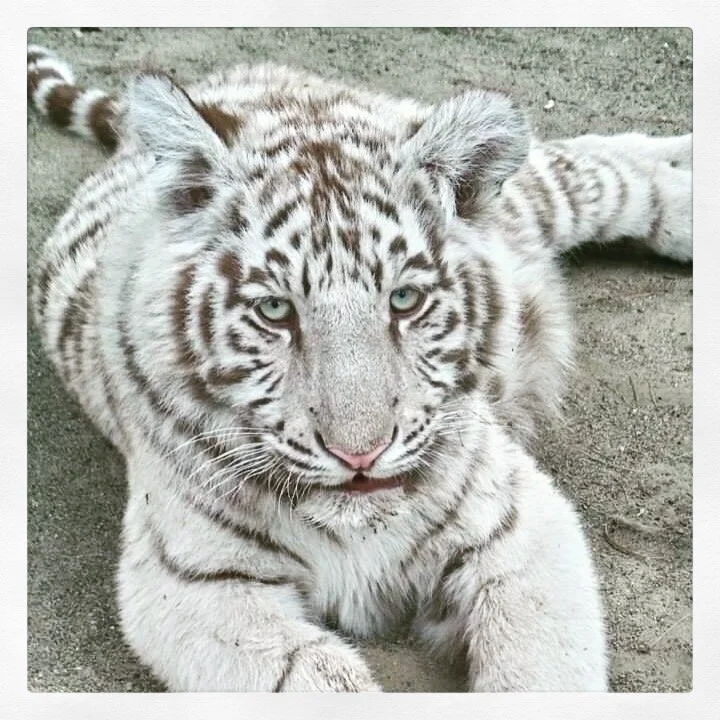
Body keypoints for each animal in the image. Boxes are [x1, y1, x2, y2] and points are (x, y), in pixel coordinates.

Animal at [28, 43, 692, 692]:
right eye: (275, 310)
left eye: (405, 300)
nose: (359, 454)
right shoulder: (191, 580)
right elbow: (317, 677)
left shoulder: (520, 520)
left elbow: (540, 668)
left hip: (537, 193)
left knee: (598, 165)